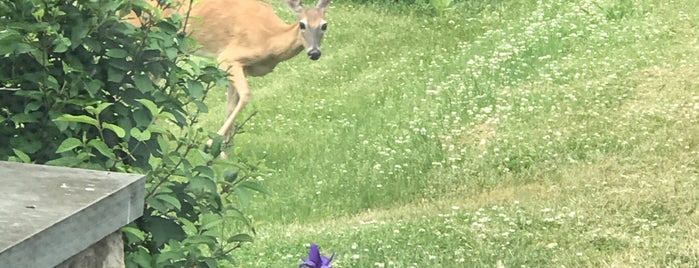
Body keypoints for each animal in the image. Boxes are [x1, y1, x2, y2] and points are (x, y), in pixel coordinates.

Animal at [128, 0, 330, 154]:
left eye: (324, 25)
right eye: (302, 24)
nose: (314, 52)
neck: (270, 39)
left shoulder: (241, 67)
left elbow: (231, 104)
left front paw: (224, 152)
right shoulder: (228, 57)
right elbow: (246, 94)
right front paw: (210, 144)